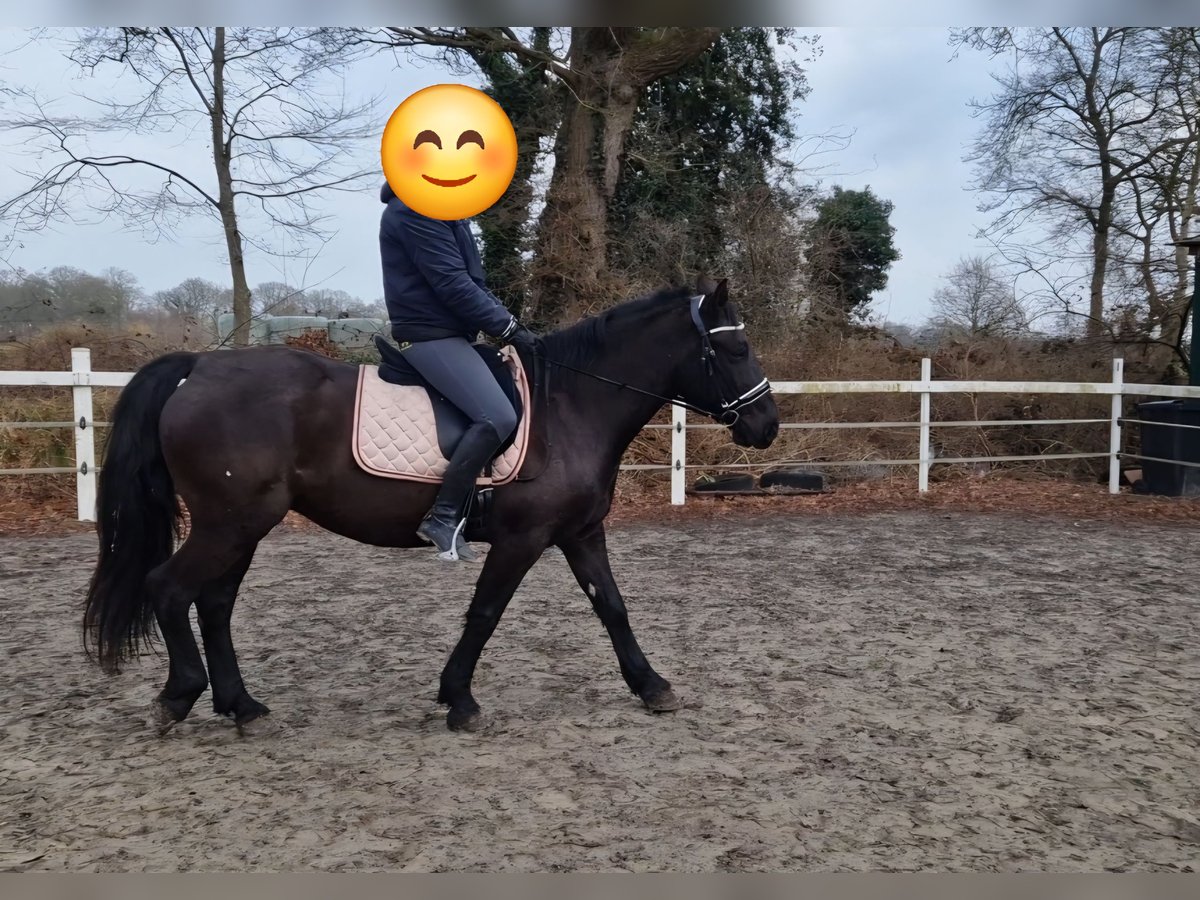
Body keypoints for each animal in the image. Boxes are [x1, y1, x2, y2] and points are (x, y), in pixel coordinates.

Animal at [82, 276, 780, 732]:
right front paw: (461, 701)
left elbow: (611, 607)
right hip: (231, 523)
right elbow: (486, 613)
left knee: (215, 603)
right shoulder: (524, 538)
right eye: (737, 349)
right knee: (169, 588)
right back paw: (180, 697)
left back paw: (242, 707)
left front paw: (652, 686)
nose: (767, 425)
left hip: (243, 526)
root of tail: (197, 368)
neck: (572, 403)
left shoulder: (580, 532)